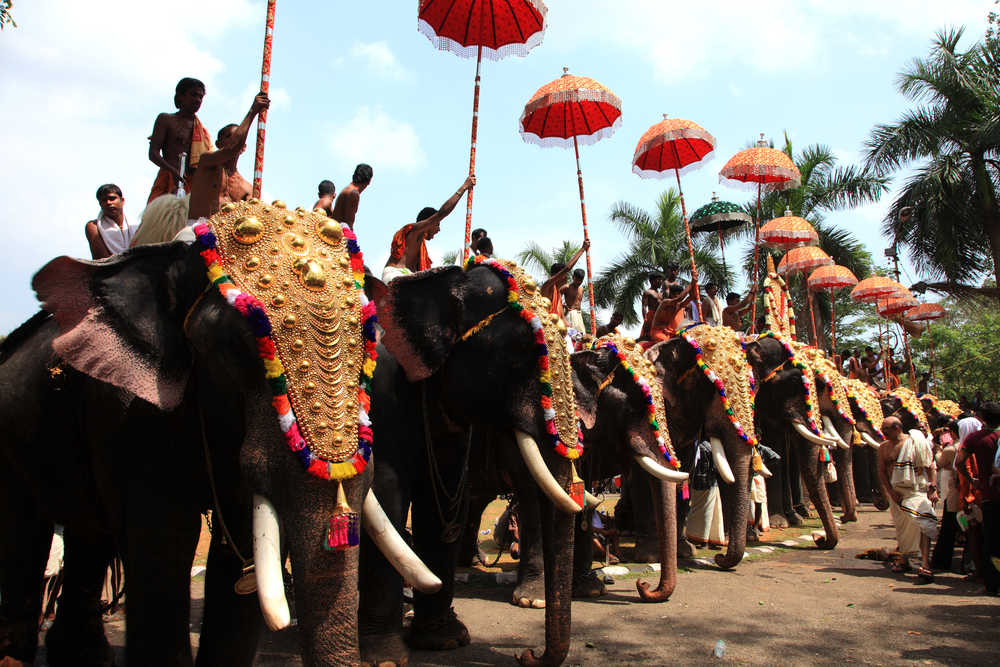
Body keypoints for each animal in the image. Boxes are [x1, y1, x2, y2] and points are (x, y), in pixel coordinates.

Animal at [0, 204, 438, 667]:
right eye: (235, 347)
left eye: (370, 339)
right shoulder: (130, 415)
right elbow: (162, 545)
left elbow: (241, 547)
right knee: (23, 539)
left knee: (87, 536)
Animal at [360, 258, 588, 667]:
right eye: (519, 349)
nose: (526, 654)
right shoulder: (379, 399)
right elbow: (386, 494)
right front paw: (384, 659)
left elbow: (450, 501)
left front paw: (446, 641)